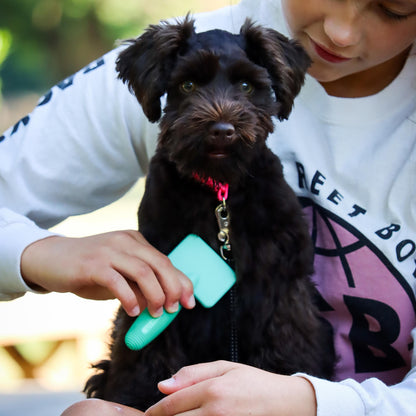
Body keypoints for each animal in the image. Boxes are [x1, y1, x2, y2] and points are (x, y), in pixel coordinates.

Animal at [84, 15, 334, 410]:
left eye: (246, 85)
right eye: (187, 84)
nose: (222, 130)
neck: (219, 191)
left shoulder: (282, 282)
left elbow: (288, 339)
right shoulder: (159, 279)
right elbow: (149, 348)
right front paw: (136, 396)